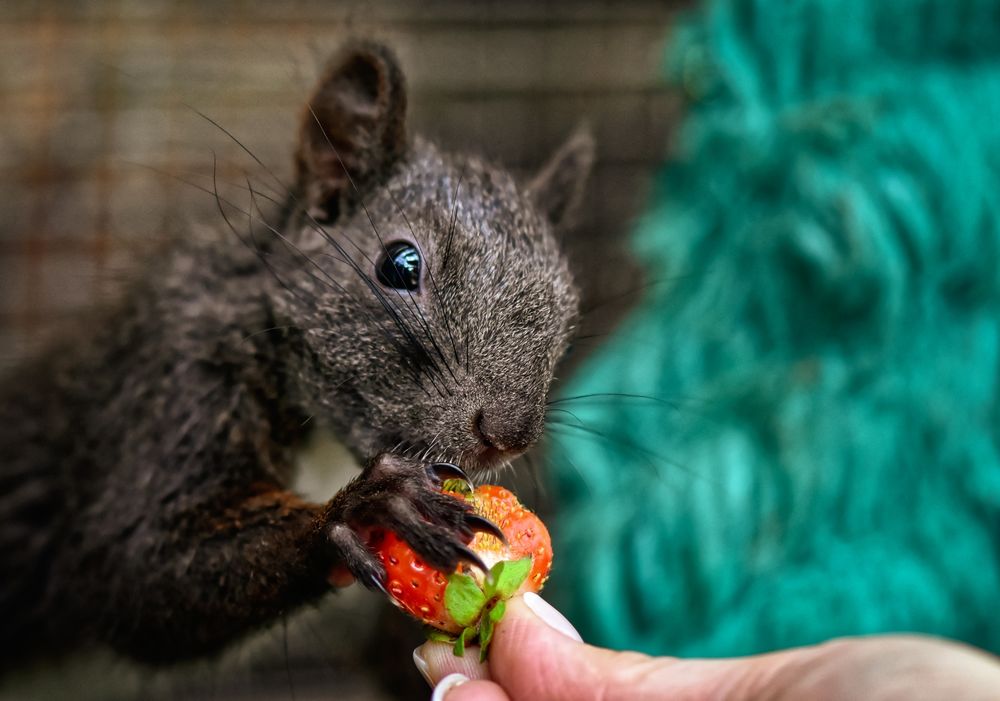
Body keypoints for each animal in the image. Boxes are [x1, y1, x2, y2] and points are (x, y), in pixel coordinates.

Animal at [0, 41, 592, 668]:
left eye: (570, 311)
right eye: (400, 264)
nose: (509, 434)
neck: (326, 442)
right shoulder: (172, 377)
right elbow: (136, 570)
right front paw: (364, 512)